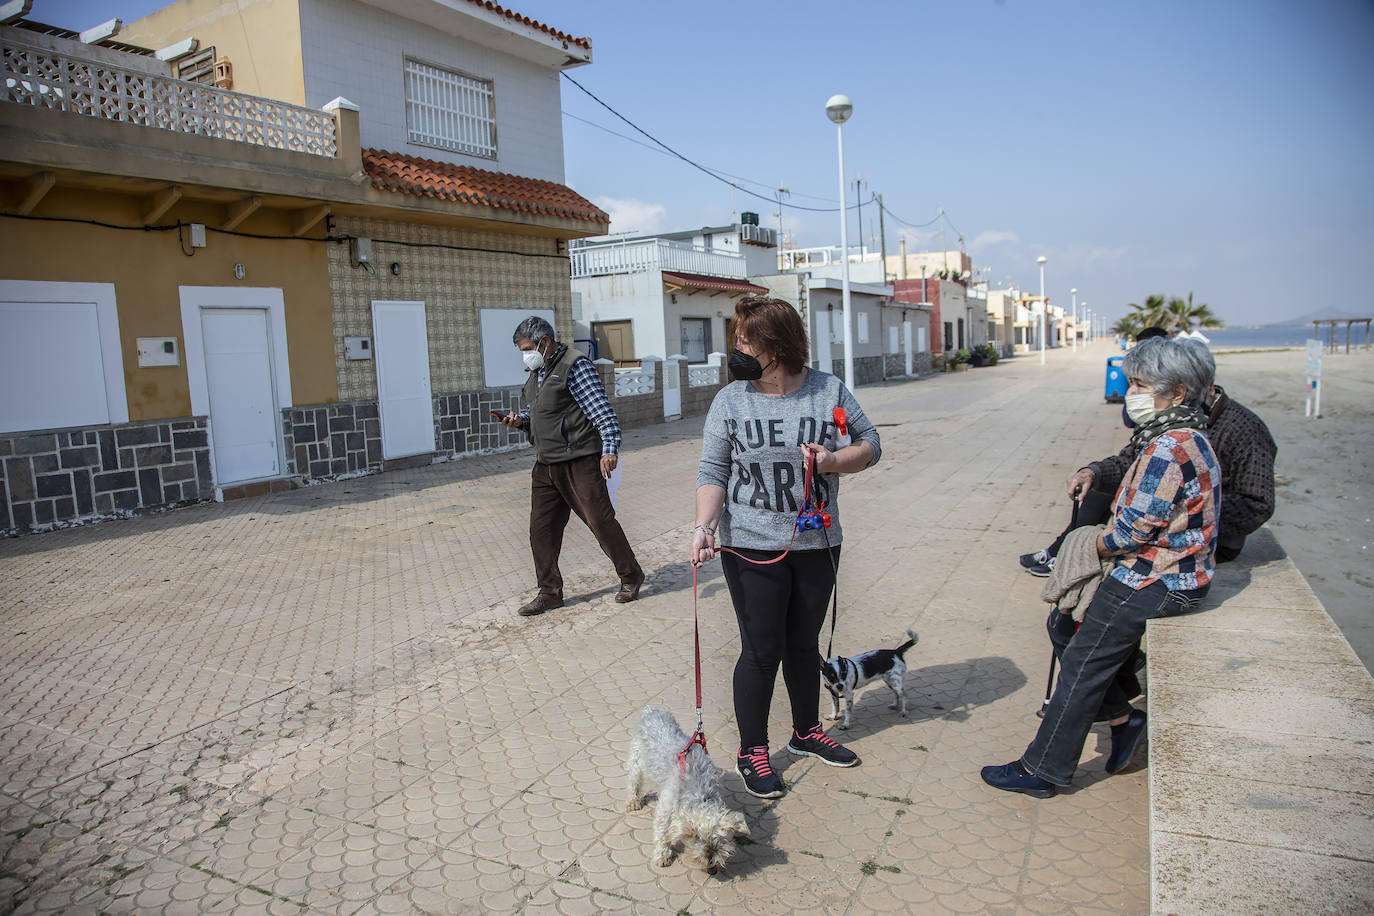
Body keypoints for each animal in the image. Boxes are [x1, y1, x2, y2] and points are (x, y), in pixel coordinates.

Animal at [626, 708, 747, 873]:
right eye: (697, 838)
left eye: (722, 839)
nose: (712, 869)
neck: (699, 792)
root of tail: (651, 710)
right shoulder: (665, 808)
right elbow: (662, 832)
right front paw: (662, 856)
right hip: (636, 758)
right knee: (633, 779)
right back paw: (633, 801)